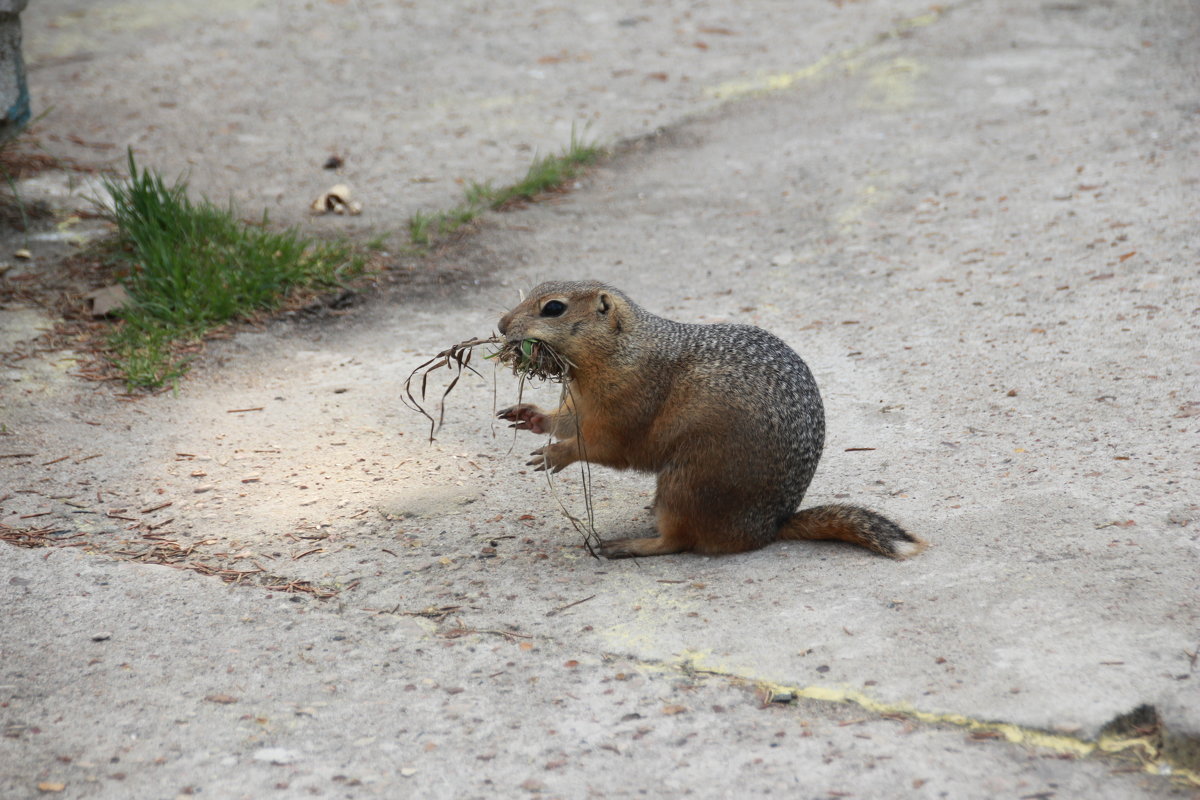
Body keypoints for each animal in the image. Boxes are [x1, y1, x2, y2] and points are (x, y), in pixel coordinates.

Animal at [492, 281, 921, 563]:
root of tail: (768, 528)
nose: (501, 324)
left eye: (553, 308)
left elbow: (605, 446)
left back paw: (626, 545)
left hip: (687, 481)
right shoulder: (581, 403)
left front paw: (555, 455)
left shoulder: (628, 404)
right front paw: (528, 416)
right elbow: (565, 420)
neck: (623, 349)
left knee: (679, 541)